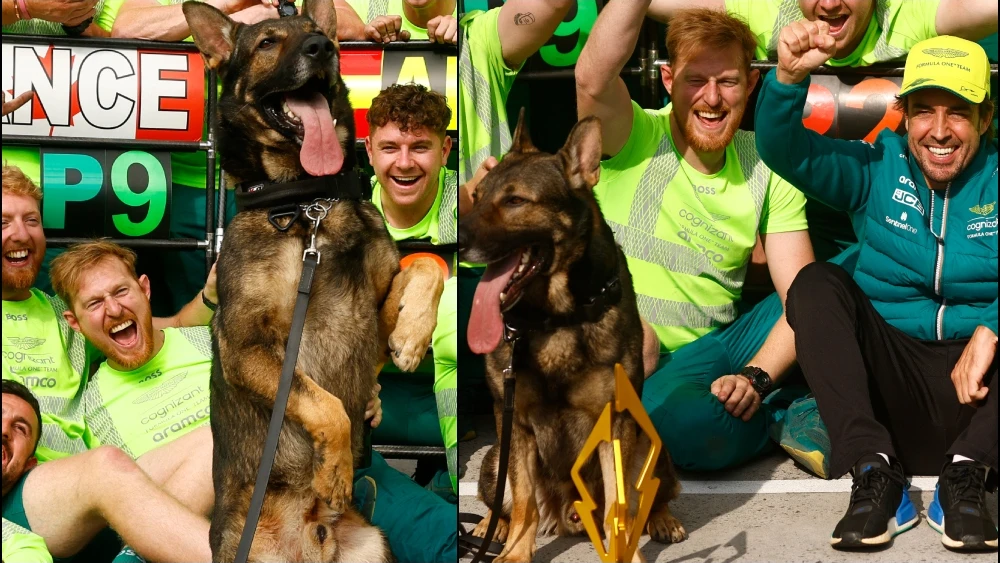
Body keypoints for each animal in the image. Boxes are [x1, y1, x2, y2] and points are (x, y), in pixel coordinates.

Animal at [183, 2, 442, 560]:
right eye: (266, 43)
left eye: (319, 33)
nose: (320, 48)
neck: (306, 203)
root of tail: (315, 537)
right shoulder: (247, 346)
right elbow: (325, 405)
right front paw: (337, 468)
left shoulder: (372, 321)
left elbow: (427, 266)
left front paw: (413, 336)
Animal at [458, 114, 688, 563]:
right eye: (476, 196)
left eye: (515, 201)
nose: (455, 243)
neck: (555, 319)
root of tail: (566, 513)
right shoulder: (516, 424)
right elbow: (524, 500)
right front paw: (517, 551)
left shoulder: (615, 422)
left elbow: (621, 504)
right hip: (495, 460)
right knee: (506, 502)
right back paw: (493, 527)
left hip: (651, 444)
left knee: (654, 496)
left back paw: (662, 520)